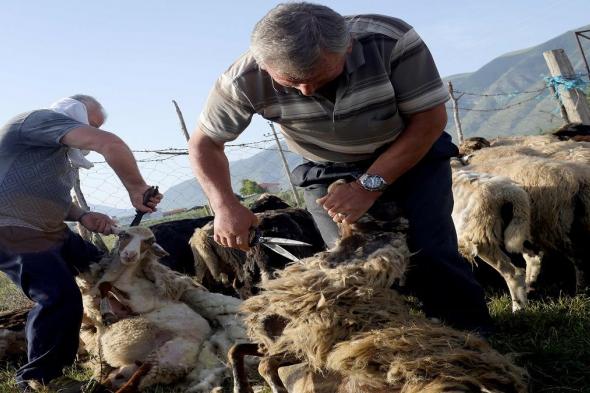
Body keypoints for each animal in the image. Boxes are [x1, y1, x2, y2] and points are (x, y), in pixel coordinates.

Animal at [77, 227, 247, 392]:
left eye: (149, 241)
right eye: (123, 235)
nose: (130, 255)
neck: (127, 280)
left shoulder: (140, 302)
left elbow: (107, 287)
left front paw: (107, 313)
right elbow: (105, 287)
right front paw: (107, 310)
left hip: (166, 355)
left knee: (137, 378)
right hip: (132, 368)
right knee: (118, 380)